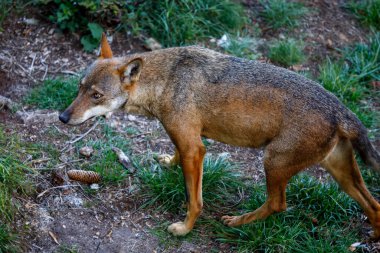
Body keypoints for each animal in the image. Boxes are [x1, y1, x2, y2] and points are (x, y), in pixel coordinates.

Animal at [59, 34, 380, 238]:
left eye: (96, 95)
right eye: (79, 88)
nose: (62, 117)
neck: (166, 81)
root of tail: (341, 109)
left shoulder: (195, 149)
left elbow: (195, 200)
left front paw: (184, 230)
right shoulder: (186, 140)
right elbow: (176, 155)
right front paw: (168, 162)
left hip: (273, 162)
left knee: (278, 204)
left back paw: (236, 222)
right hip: (340, 174)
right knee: (374, 205)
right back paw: (374, 236)